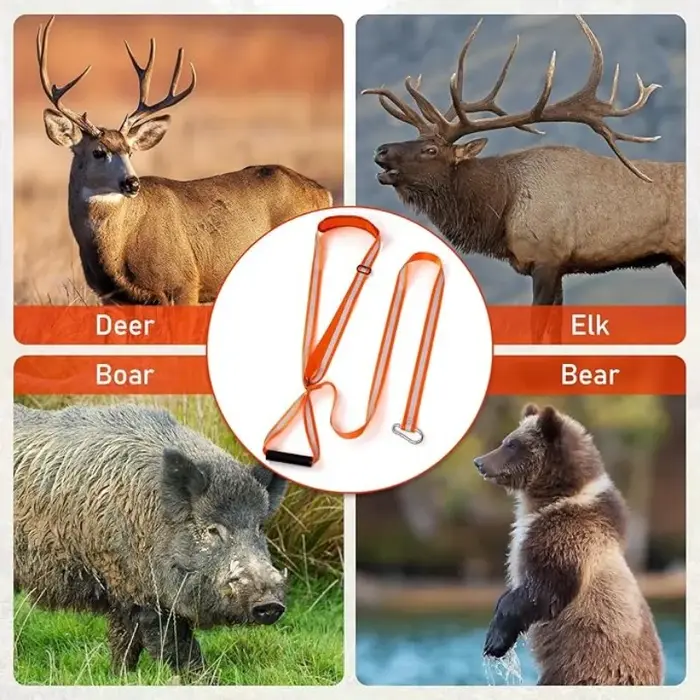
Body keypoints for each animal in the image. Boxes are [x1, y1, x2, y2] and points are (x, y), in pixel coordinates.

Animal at [37, 16, 332, 305]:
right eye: (98, 152)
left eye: (130, 151)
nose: (132, 183)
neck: (116, 252)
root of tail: (323, 192)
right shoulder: (113, 298)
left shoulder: (183, 283)